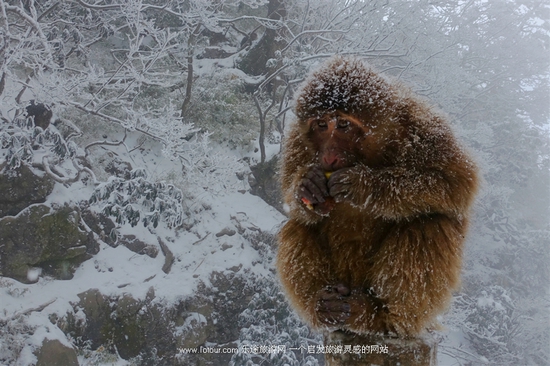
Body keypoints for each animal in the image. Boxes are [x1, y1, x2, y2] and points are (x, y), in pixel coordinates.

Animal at [278, 58, 480, 338]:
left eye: (343, 125)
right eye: (321, 125)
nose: (328, 155)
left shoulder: (421, 124)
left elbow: (456, 183)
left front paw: (363, 185)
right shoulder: (298, 140)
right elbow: (291, 198)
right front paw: (306, 186)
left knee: (430, 222)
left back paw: (380, 316)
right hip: (343, 278)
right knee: (298, 226)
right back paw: (323, 306)